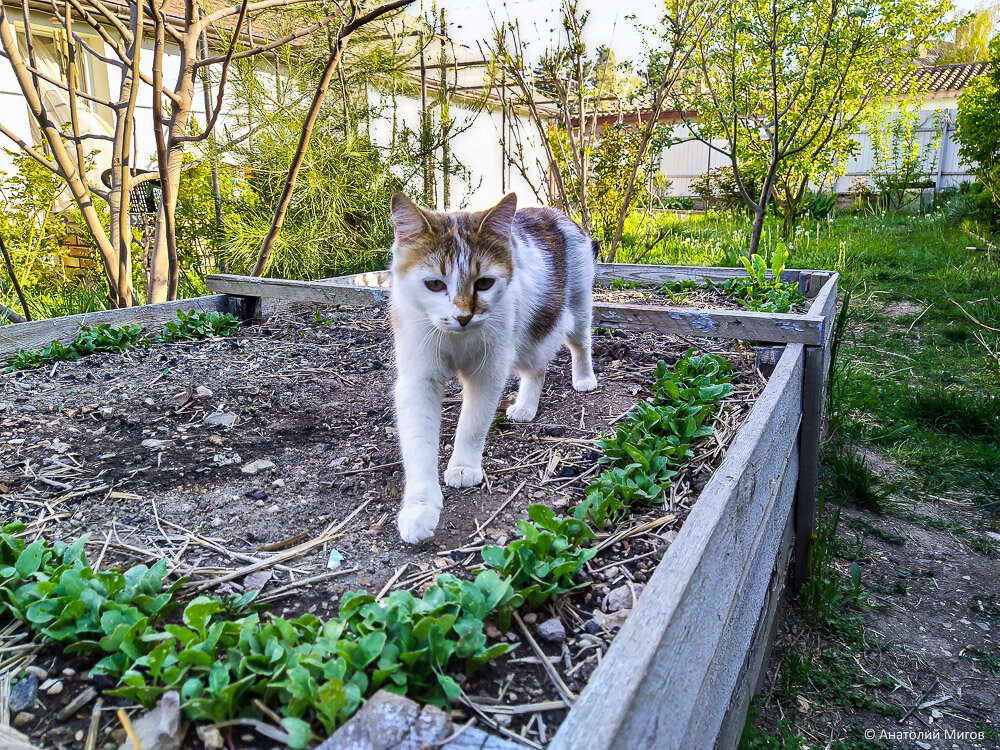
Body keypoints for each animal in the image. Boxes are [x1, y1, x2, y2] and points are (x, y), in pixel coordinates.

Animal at [386, 192, 596, 548]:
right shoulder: (419, 378)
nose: (463, 317)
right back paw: (526, 407)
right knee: (536, 369)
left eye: (484, 283)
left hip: (573, 311)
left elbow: (473, 424)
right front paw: (419, 509)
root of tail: (555, 212)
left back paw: (584, 378)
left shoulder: (489, 371)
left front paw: (463, 466)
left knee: (580, 344)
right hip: (524, 339)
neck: (457, 337)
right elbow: (418, 444)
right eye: (434, 285)